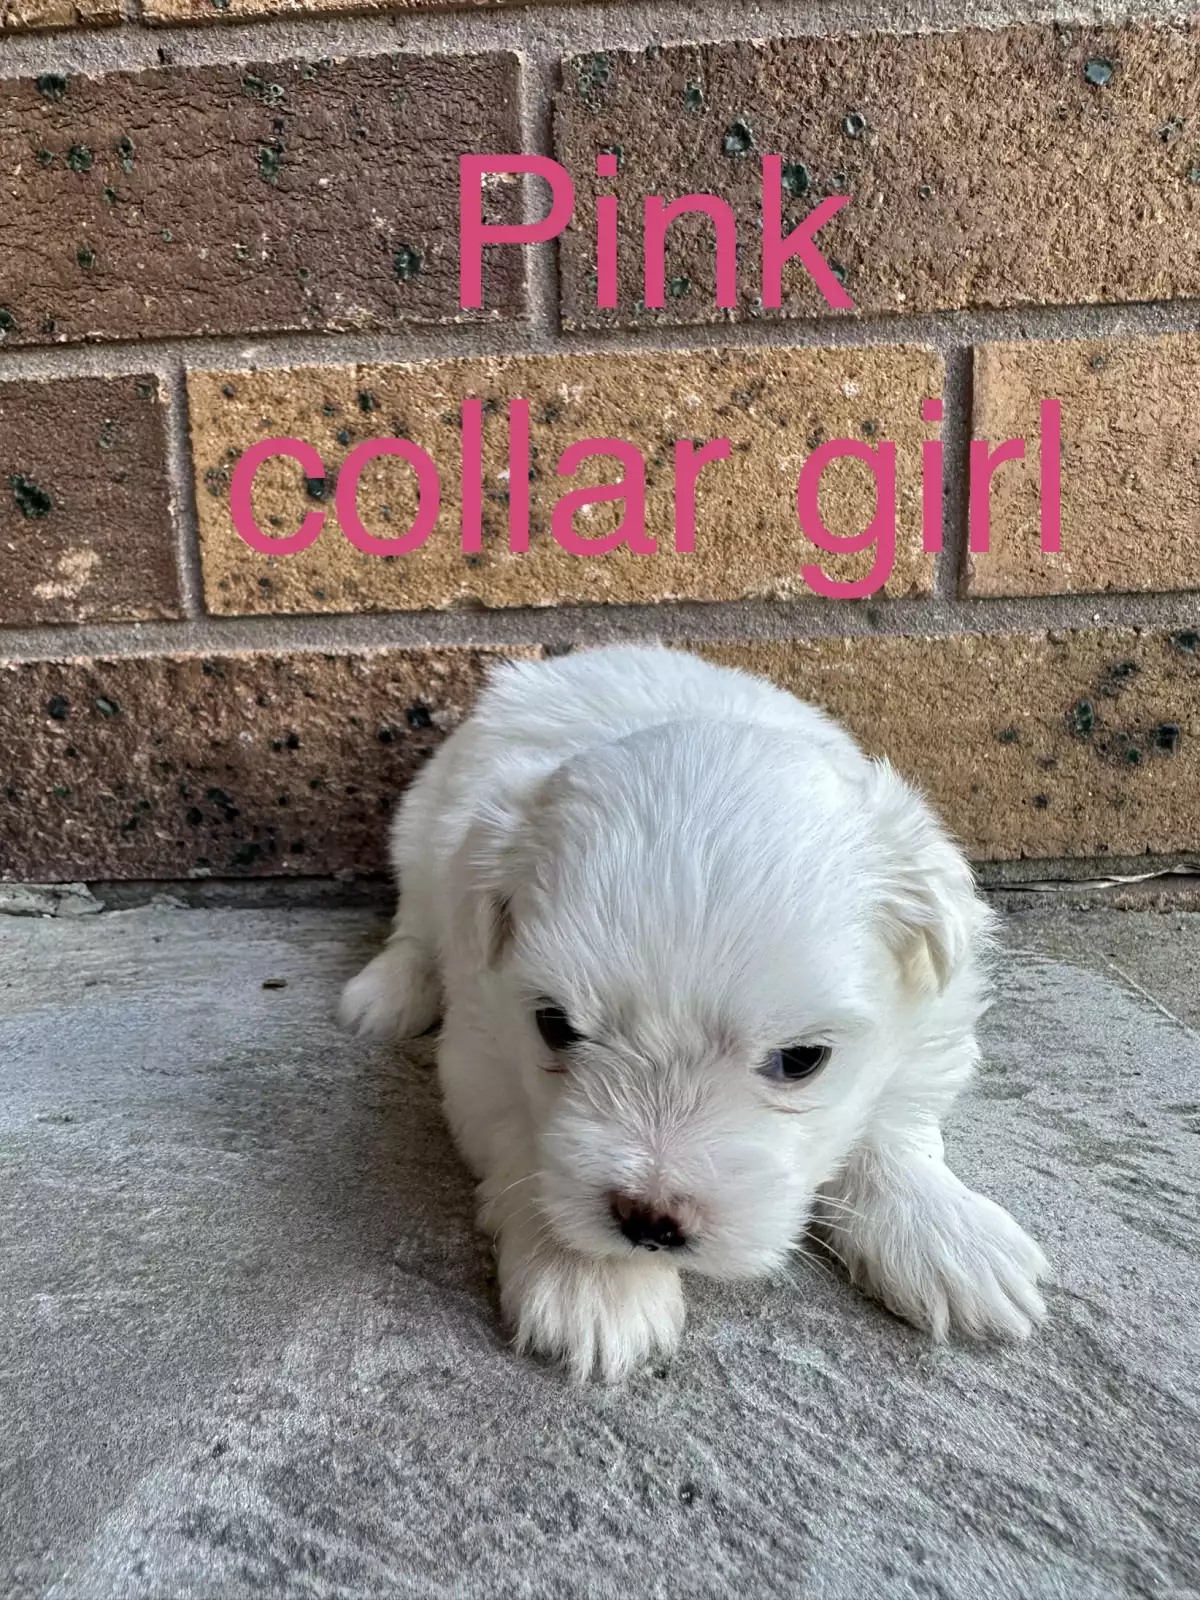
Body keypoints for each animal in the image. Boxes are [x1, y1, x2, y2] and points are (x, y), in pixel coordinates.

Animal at [341, 644, 1048, 1380]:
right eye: (555, 1027)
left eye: (801, 1060)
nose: (649, 1222)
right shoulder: (480, 1045)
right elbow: (526, 1142)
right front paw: (594, 1280)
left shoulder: (931, 1023)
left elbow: (892, 1128)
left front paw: (948, 1236)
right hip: (420, 836)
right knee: (414, 926)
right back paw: (385, 995)